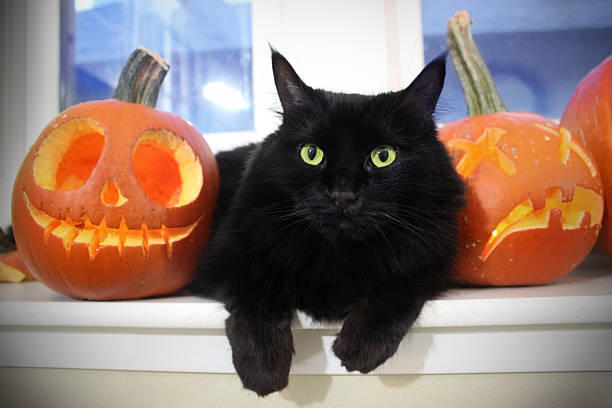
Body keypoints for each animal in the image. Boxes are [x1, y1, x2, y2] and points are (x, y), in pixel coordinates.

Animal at [191, 49, 464, 396]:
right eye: (311, 153)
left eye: (383, 156)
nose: (342, 194)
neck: (337, 254)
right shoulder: (224, 259)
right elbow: (256, 294)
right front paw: (264, 369)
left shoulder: (430, 260)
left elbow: (399, 287)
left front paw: (360, 348)